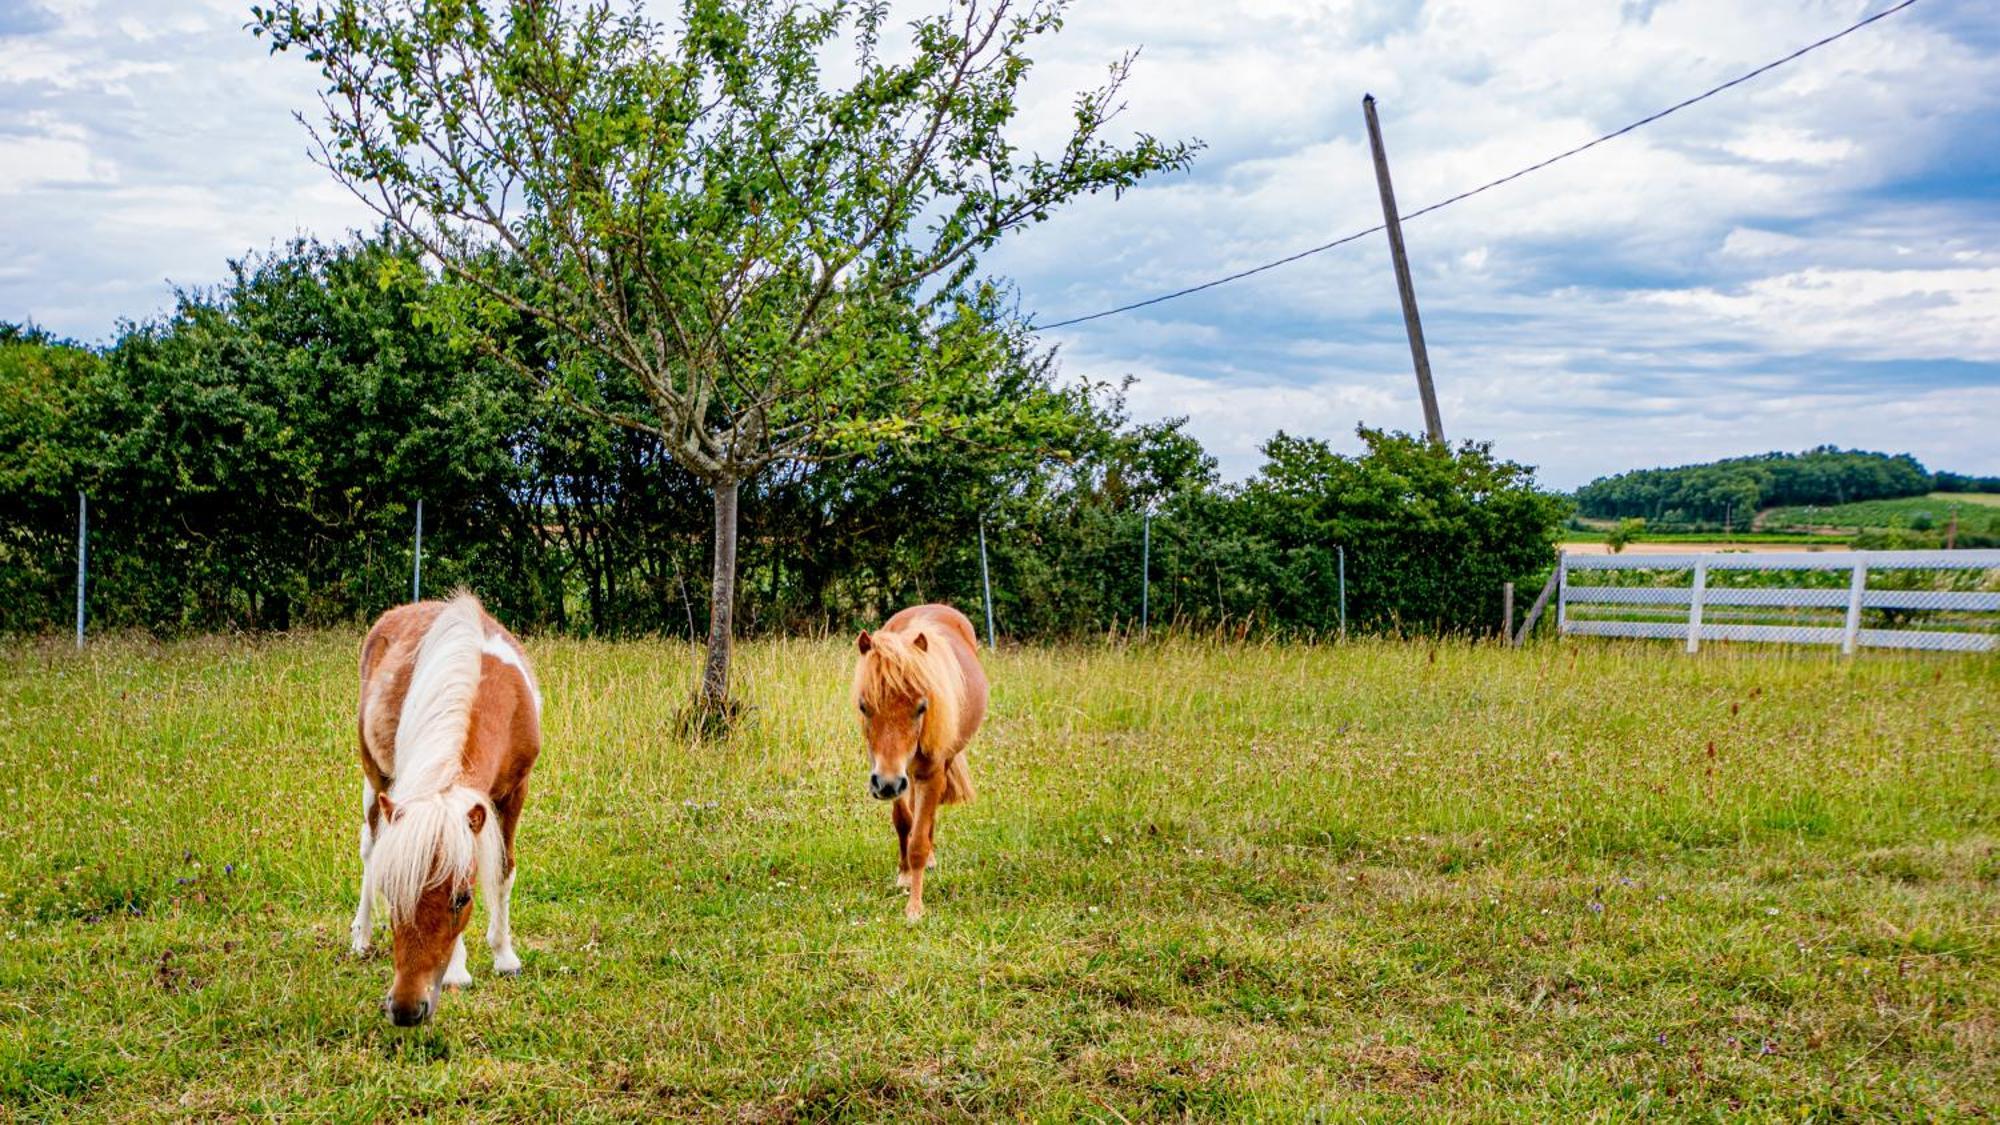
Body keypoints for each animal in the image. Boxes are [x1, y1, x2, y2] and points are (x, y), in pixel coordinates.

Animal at [348, 592, 544, 1020]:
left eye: (462, 898)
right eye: (393, 891)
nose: (405, 1008)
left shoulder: (515, 792)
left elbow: (503, 870)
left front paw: (504, 956)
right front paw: (457, 970)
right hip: (375, 775)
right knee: (370, 847)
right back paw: (361, 935)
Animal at [856, 600, 988, 916]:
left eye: (921, 707)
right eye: (864, 706)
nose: (887, 784)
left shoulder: (928, 773)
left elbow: (917, 839)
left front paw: (915, 908)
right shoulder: (889, 772)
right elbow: (904, 821)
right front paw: (904, 875)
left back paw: (930, 856)